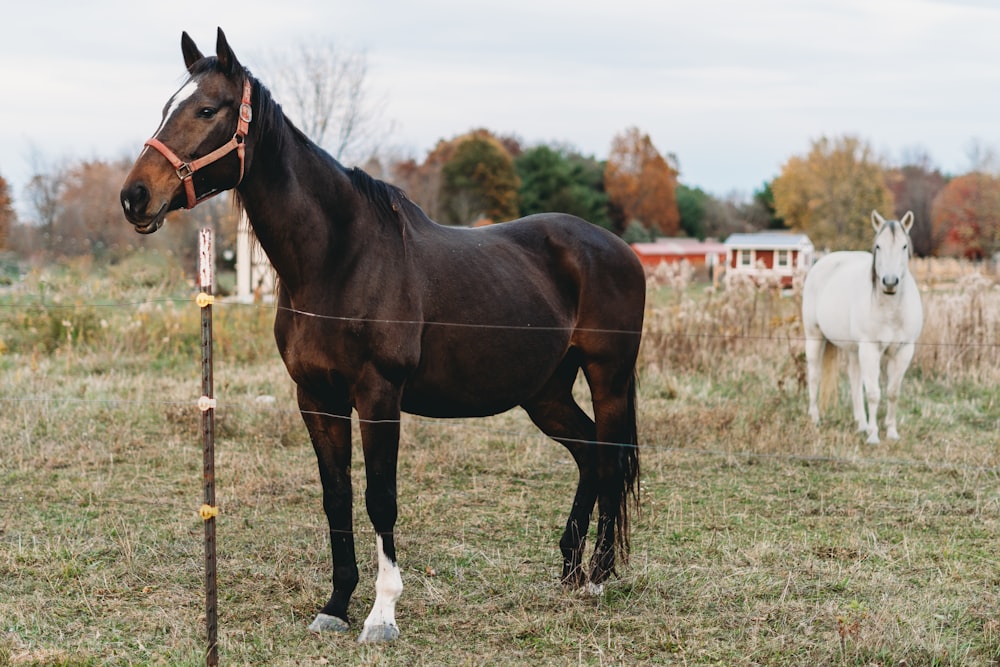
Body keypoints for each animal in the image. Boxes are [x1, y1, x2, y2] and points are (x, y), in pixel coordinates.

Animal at [121, 28, 644, 644]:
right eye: (166, 108)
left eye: (207, 109)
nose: (135, 197)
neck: (339, 259)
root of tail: (619, 249)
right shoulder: (316, 398)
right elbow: (337, 497)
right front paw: (336, 604)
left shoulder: (378, 395)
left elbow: (380, 499)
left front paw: (382, 613)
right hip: (546, 392)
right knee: (589, 454)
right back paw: (569, 569)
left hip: (607, 377)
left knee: (609, 458)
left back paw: (598, 578)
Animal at [800, 211, 924, 446]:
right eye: (878, 246)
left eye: (904, 246)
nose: (890, 282)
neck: (891, 309)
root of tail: (822, 261)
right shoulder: (870, 349)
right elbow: (874, 393)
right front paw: (874, 436)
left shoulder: (904, 351)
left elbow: (893, 392)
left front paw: (891, 432)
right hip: (815, 337)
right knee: (814, 376)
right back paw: (815, 418)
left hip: (853, 349)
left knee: (855, 382)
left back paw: (861, 424)